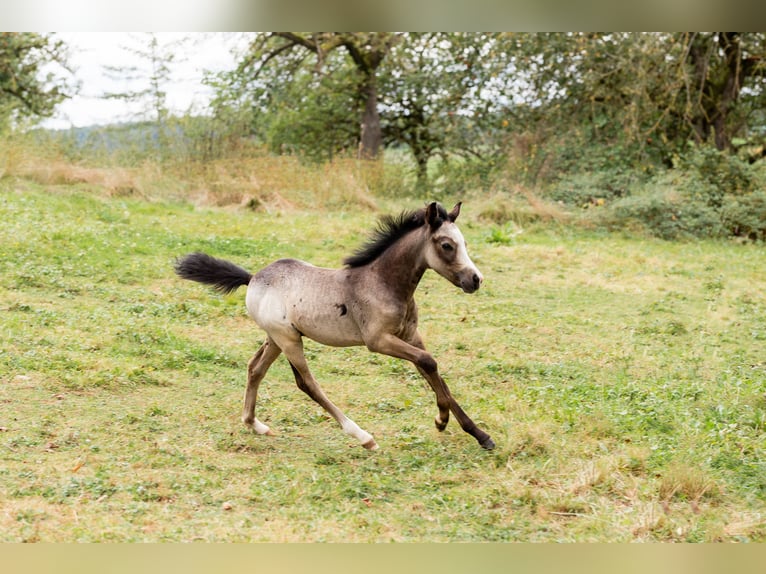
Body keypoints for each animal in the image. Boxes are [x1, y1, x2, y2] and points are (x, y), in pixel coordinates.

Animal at [176, 204, 498, 454]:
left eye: (464, 243)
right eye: (447, 245)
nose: (476, 279)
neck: (382, 283)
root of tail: (253, 277)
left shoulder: (410, 336)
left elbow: (431, 371)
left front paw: (477, 433)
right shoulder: (378, 341)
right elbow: (429, 363)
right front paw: (442, 420)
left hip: (276, 338)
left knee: (255, 368)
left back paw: (255, 424)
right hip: (288, 339)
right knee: (307, 383)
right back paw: (364, 437)